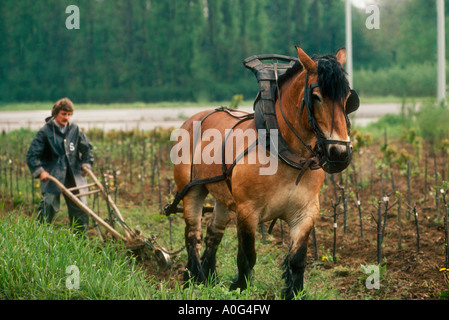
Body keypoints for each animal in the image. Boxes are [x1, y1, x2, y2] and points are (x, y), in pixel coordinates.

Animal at [170, 46, 358, 298]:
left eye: (348, 99)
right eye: (316, 97)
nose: (339, 153)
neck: (284, 153)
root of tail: (193, 118)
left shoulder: (306, 213)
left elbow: (297, 260)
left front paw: (294, 292)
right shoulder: (247, 211)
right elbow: (247, 257)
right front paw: (239, 287)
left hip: (224, 198)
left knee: (214, 232)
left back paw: (209, 276)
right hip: (192, 191)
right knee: (193, 234)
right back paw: (195, 278)